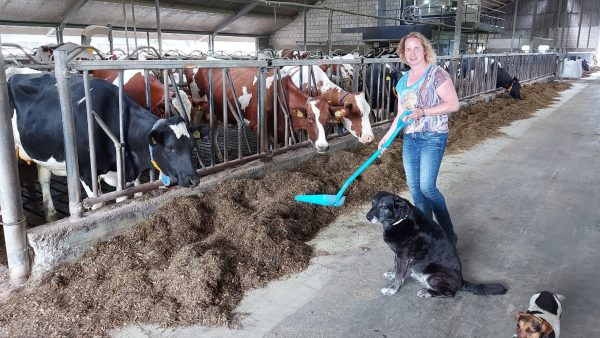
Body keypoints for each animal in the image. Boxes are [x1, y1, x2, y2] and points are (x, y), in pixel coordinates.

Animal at [7, 70, 199, 222]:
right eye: (170, 148)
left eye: (191, 145)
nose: (194, 180)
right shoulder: (86, 171)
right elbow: (98, 206)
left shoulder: (122, 174)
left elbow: (123, 201)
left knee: (44, 178)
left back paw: (50, 212)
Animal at [192, 66, 336, 153]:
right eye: (310, 118)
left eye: (329, 119)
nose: (323, 146)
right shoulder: (258, 127)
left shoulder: (279, 130)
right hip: (199, 109)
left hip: (217, 113)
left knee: (213, 134)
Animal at [366, 191, 506, 298]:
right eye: (372, 203)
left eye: (383, 207)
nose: (367, 217)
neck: (399, 220)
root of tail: (461, 281)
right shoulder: (399, 255)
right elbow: (396, 267)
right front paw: (392, 274)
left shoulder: (404, 256)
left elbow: (399, 275)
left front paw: (392, 289)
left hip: (434, 275)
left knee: (450, 293)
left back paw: (427, 292)